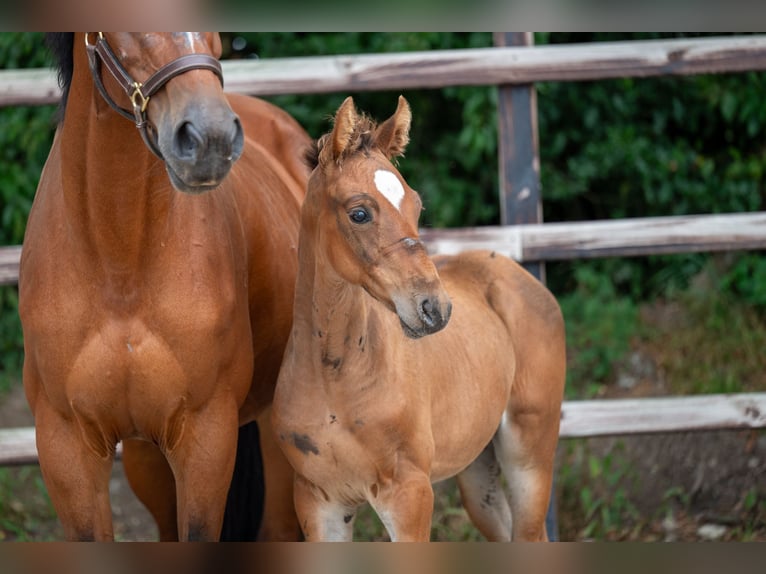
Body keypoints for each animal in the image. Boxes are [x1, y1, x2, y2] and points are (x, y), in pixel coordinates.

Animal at [272, 97, 568, 544]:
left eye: (416, 205)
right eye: (359, 213)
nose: (435, 308)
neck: (334, 376)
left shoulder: (409, 494)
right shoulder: (318, 502)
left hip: (529, 454)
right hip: (479, 471)